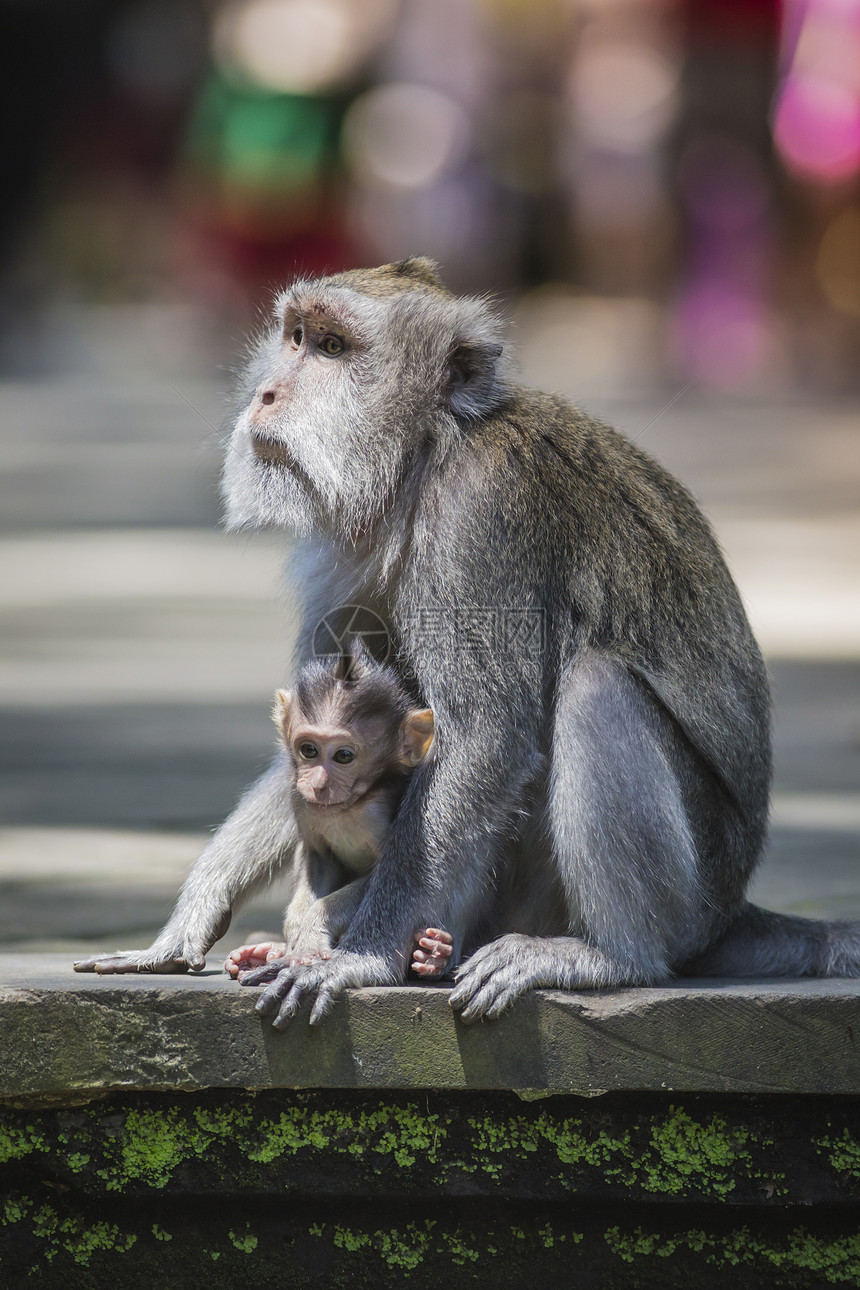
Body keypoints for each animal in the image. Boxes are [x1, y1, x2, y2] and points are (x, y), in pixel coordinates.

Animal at [225, 645, 453, 975]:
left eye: (344, 756)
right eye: (309, 750)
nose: (318, 784)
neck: (350, 806)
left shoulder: (379, 814)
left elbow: (383, 874)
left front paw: (310, 933)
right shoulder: (302, 803)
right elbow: (318, 858)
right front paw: (294, 935)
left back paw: (434, 954)